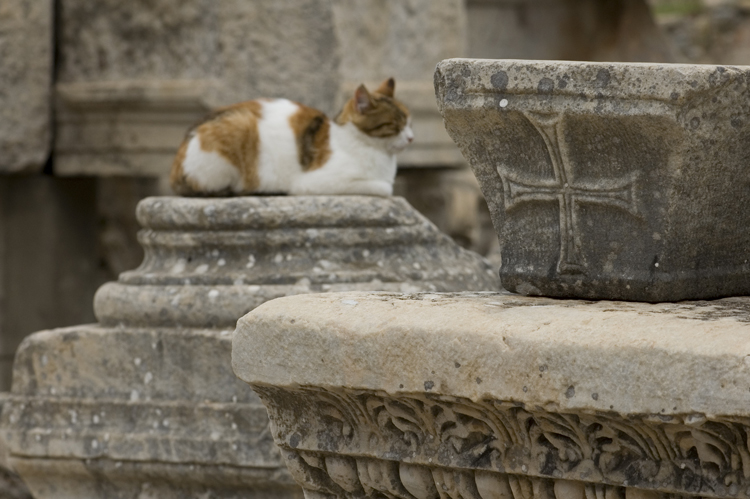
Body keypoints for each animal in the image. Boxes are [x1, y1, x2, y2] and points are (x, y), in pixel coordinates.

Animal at [170, 78, 414, 197]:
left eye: (410, 123)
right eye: (395, 125)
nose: (412, 138)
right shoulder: (315, 182)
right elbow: (384, 187)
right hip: (239, 127)